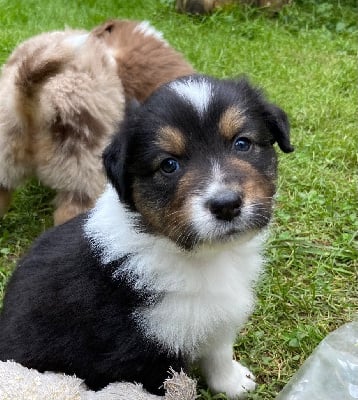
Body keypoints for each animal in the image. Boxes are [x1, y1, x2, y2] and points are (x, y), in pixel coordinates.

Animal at [0, 74, 294, 396]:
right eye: (169, 165)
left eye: (242, 143)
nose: (226, 205)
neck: (196, 256)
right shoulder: (139, 356)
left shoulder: (216, 313)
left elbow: (219, 349)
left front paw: (232, 383)